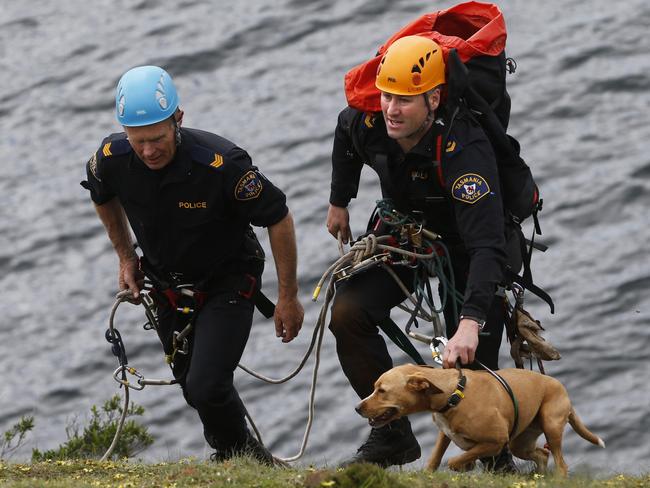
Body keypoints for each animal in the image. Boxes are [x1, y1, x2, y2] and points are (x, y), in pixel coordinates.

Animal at [354, 364, 604, 474]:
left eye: (382, 391)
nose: (357, 408)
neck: (453, 394)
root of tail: (559, 385)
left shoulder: (495, 441)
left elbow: (456, 460)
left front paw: (464, 465)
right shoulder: (445, 434)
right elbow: (435, 459)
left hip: (550, 425)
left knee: (561, 463)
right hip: (520, 443)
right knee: (542, 454)